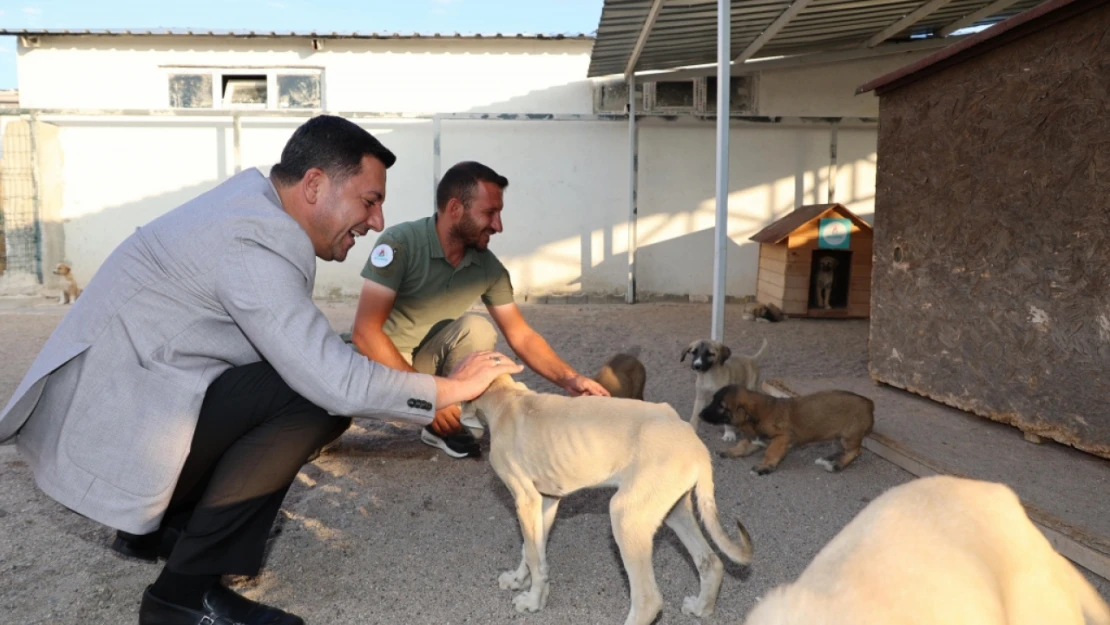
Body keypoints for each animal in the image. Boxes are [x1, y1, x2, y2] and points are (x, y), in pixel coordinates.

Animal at [459, 375, 754, 625]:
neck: (507, 400)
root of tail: (694, 441)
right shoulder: (546, 501)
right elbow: (531, 549)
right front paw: (520, 581)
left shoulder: (526, 499)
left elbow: (532, 553)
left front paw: (532, 602)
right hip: (673, 510)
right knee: (711, 563)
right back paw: (702, 608)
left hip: (626, 516)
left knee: (648, 600)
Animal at [697, 384, 870, 477]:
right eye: (713, 400)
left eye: (722, 406)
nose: (700, 414)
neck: (761, 413)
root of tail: (869, 403)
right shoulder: (757, 438)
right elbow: (743, 445)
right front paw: (730, 451)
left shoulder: (782, 437)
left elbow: (771, 452)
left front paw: (764, 467)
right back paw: (830, 458)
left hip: (849, 435)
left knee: (855, 451)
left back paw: (837, 465)